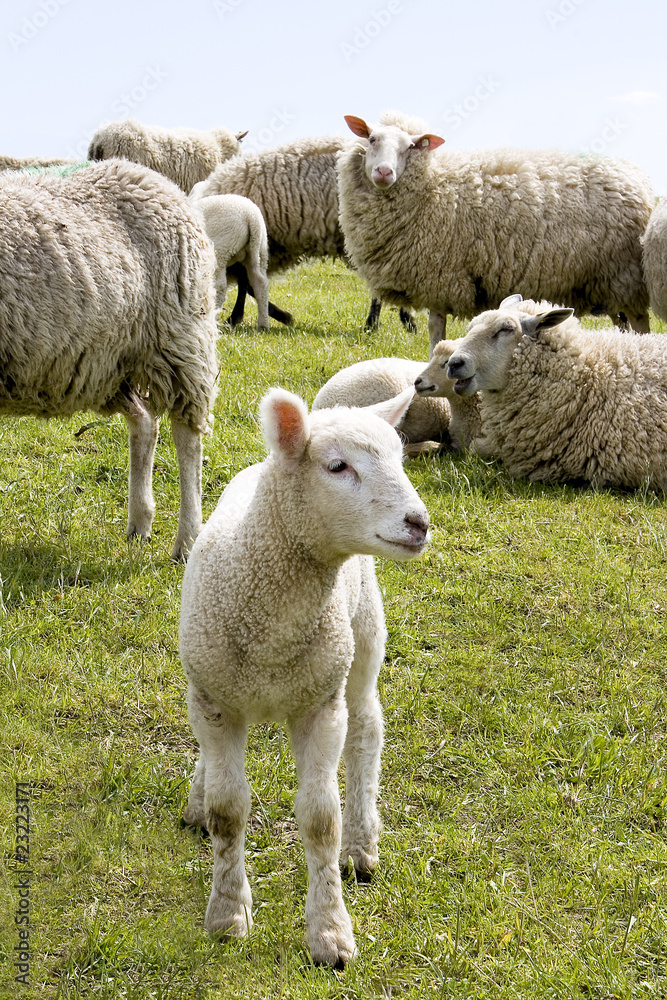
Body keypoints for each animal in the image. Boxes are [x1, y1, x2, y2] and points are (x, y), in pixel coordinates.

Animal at [0, 158, 219, 561]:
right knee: (145, 423)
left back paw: (186, 541)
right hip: (106, 363)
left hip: (178, 340)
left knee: (188, 439)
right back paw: (140, 524)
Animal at [179, 387, 430, 967]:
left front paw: (330, 932)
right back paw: (197, 797)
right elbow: (228, 811)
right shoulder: (213, 698)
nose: (419, 522)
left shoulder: (321, 704)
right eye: (337, 466)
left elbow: (320, 820)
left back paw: (361, 844)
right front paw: (227, 915)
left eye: (401, 459)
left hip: (361, 640)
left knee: (367, 730)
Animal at [189, 193, 270, 330]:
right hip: (259, 251)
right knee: (261, 283)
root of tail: (251, 217)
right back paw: (263, 324)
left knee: (220, 285)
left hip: (221, 250)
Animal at [338, 111, 654, 355]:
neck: (432, 185)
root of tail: (637, 179)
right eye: (372, 139)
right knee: (623, 325)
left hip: (624, 277)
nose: (383, 172)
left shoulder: (440, 277)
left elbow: (435, 330)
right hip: (606, 284)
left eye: (410, 146)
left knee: (640, 323)